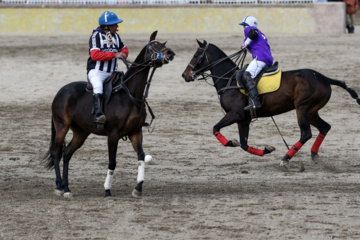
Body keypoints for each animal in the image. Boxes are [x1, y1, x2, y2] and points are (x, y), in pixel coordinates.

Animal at [42, 31, 176, 198]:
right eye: (154, 46)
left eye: (163, 44)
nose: (170, 53)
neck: (130, 94)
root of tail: (60, 92)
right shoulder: (113, 134)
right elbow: (112, 162)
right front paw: (107, 190)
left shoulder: (135, 132)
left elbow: (141, 157)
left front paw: (138, 188)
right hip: (62, 125)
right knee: (56, 153)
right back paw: (59, 186)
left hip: (81, 132)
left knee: (66, 153)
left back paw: (67, 188)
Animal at [183, 40, 360, 168]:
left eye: (197, 54)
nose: (185, 75)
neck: (230, 80)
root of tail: (324, 78)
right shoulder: (244, 120)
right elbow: (243, 144)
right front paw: (266, 150)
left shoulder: (235, 114)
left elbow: (215, 129)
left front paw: (230, 142)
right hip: (312, 111)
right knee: (324, 127)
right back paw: (314, 154)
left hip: (303, 108)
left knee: (306, 134)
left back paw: (286, 158)